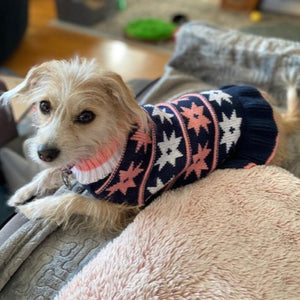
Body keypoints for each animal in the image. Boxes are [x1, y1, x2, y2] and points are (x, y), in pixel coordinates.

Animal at [0, 58, 298, 232]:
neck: (107, 150)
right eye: (44, 106)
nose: (44, 153)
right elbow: (48, 174)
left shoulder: (119, 207)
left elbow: (71, 200)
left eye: (86, 116)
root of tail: (278, 115)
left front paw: (33, 209)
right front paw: (22, 193)